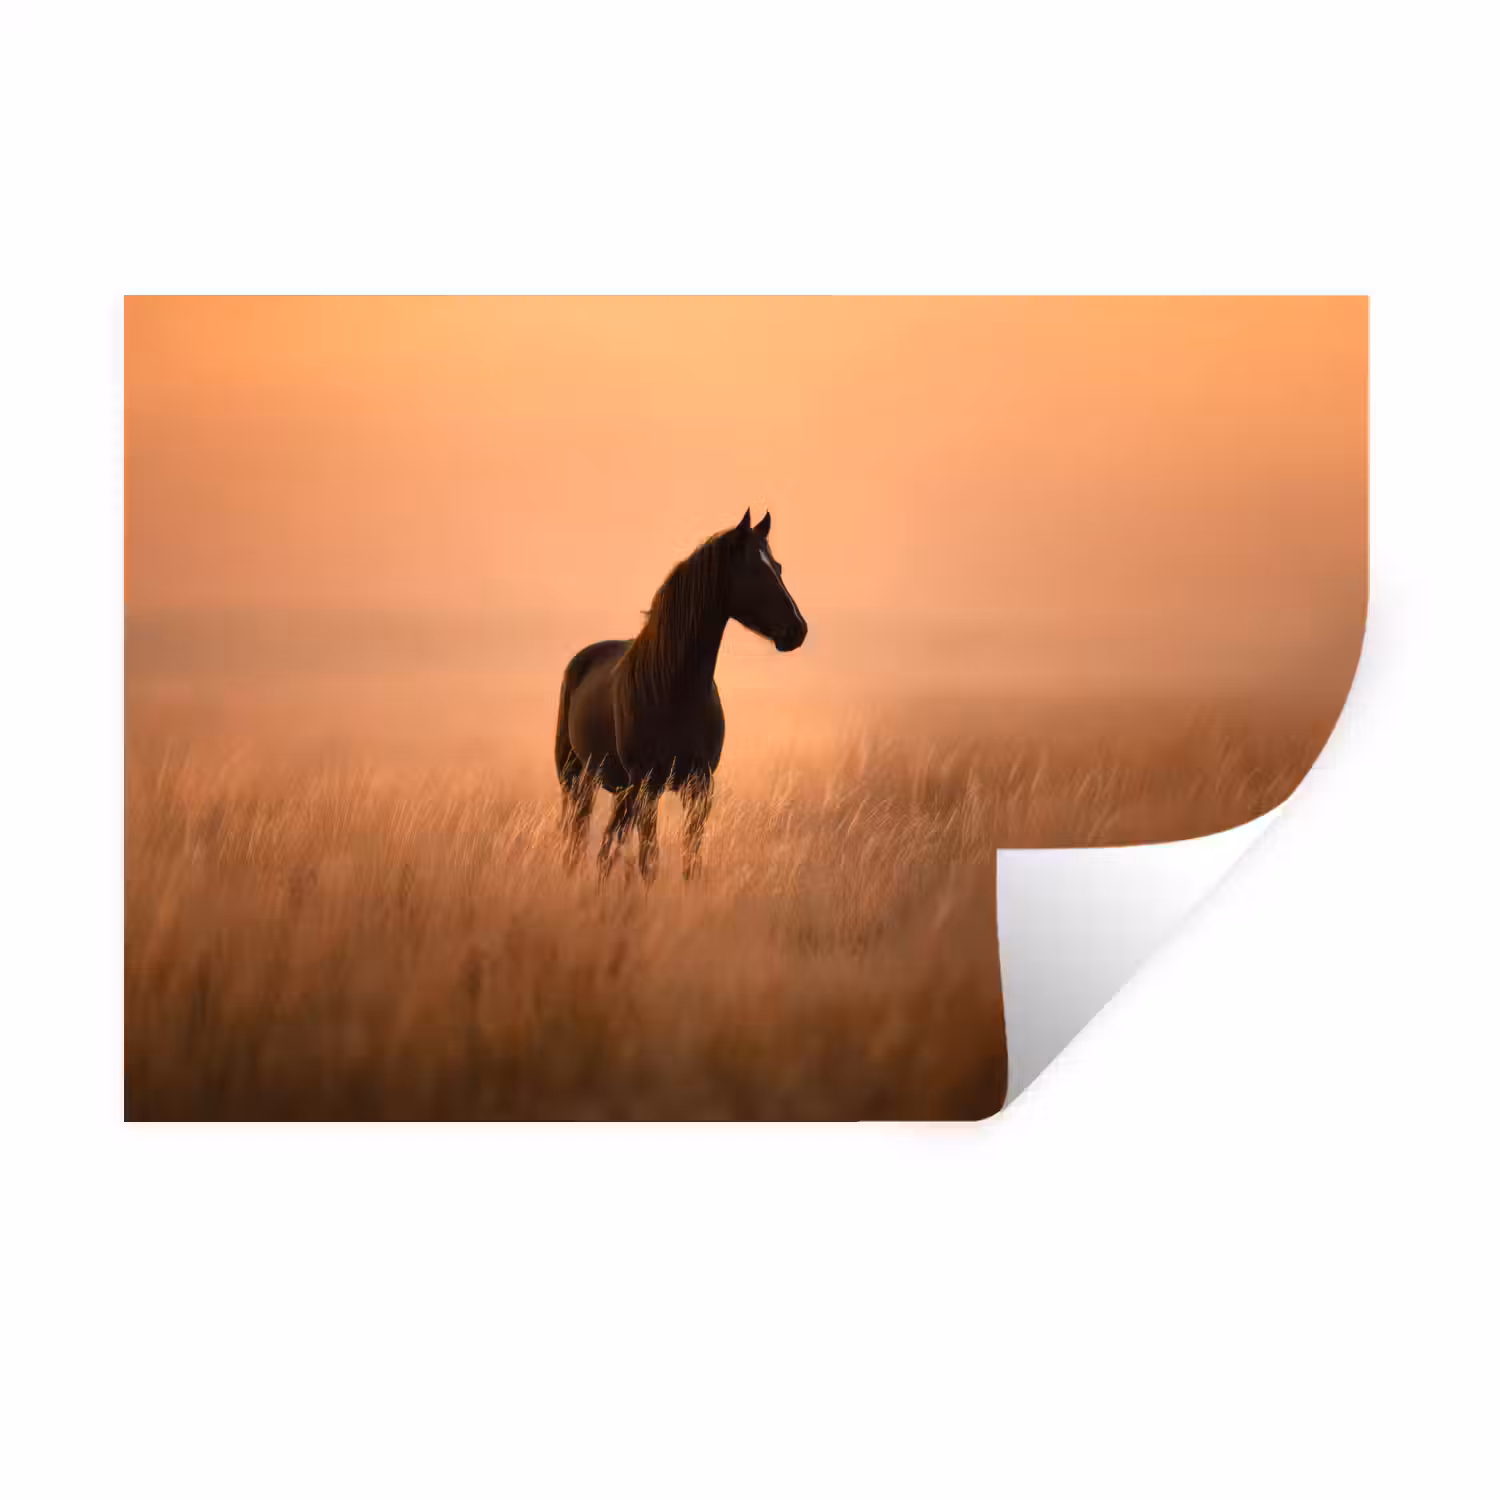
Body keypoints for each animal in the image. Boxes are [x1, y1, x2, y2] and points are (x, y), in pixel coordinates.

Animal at [553, 509, 808, 881]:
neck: (675, 689)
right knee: (580, 841)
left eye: (778, 566)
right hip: (577, 778)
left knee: (606, 846)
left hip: (619, 789)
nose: (797, 630)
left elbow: (691, 859)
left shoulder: (699, 786)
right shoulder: (649, 785)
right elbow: (649, 860)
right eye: (754, 570)